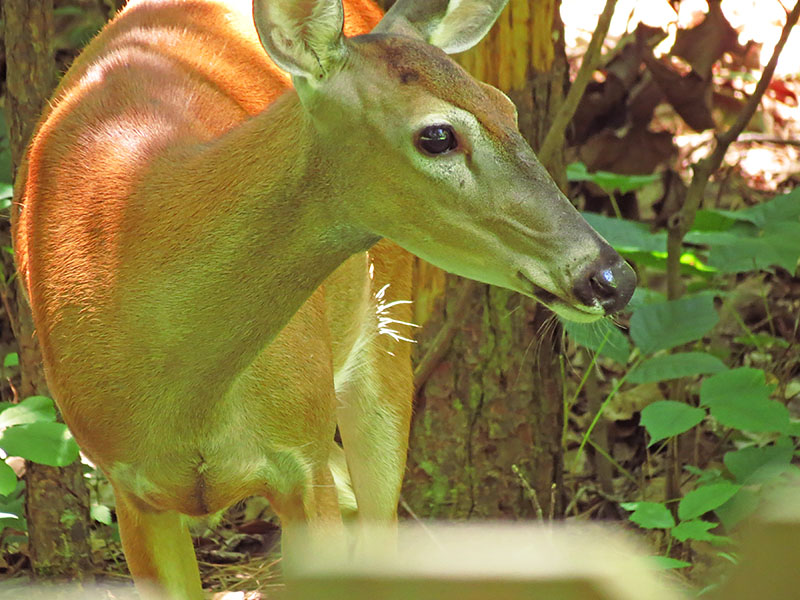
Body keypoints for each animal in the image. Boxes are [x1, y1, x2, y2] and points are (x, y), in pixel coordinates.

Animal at [12, 0, 636, 597]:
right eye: (437, 135)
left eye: (507, 108)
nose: (612, 277)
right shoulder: (129, 487)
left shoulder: (302, 455)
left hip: (385, 342)